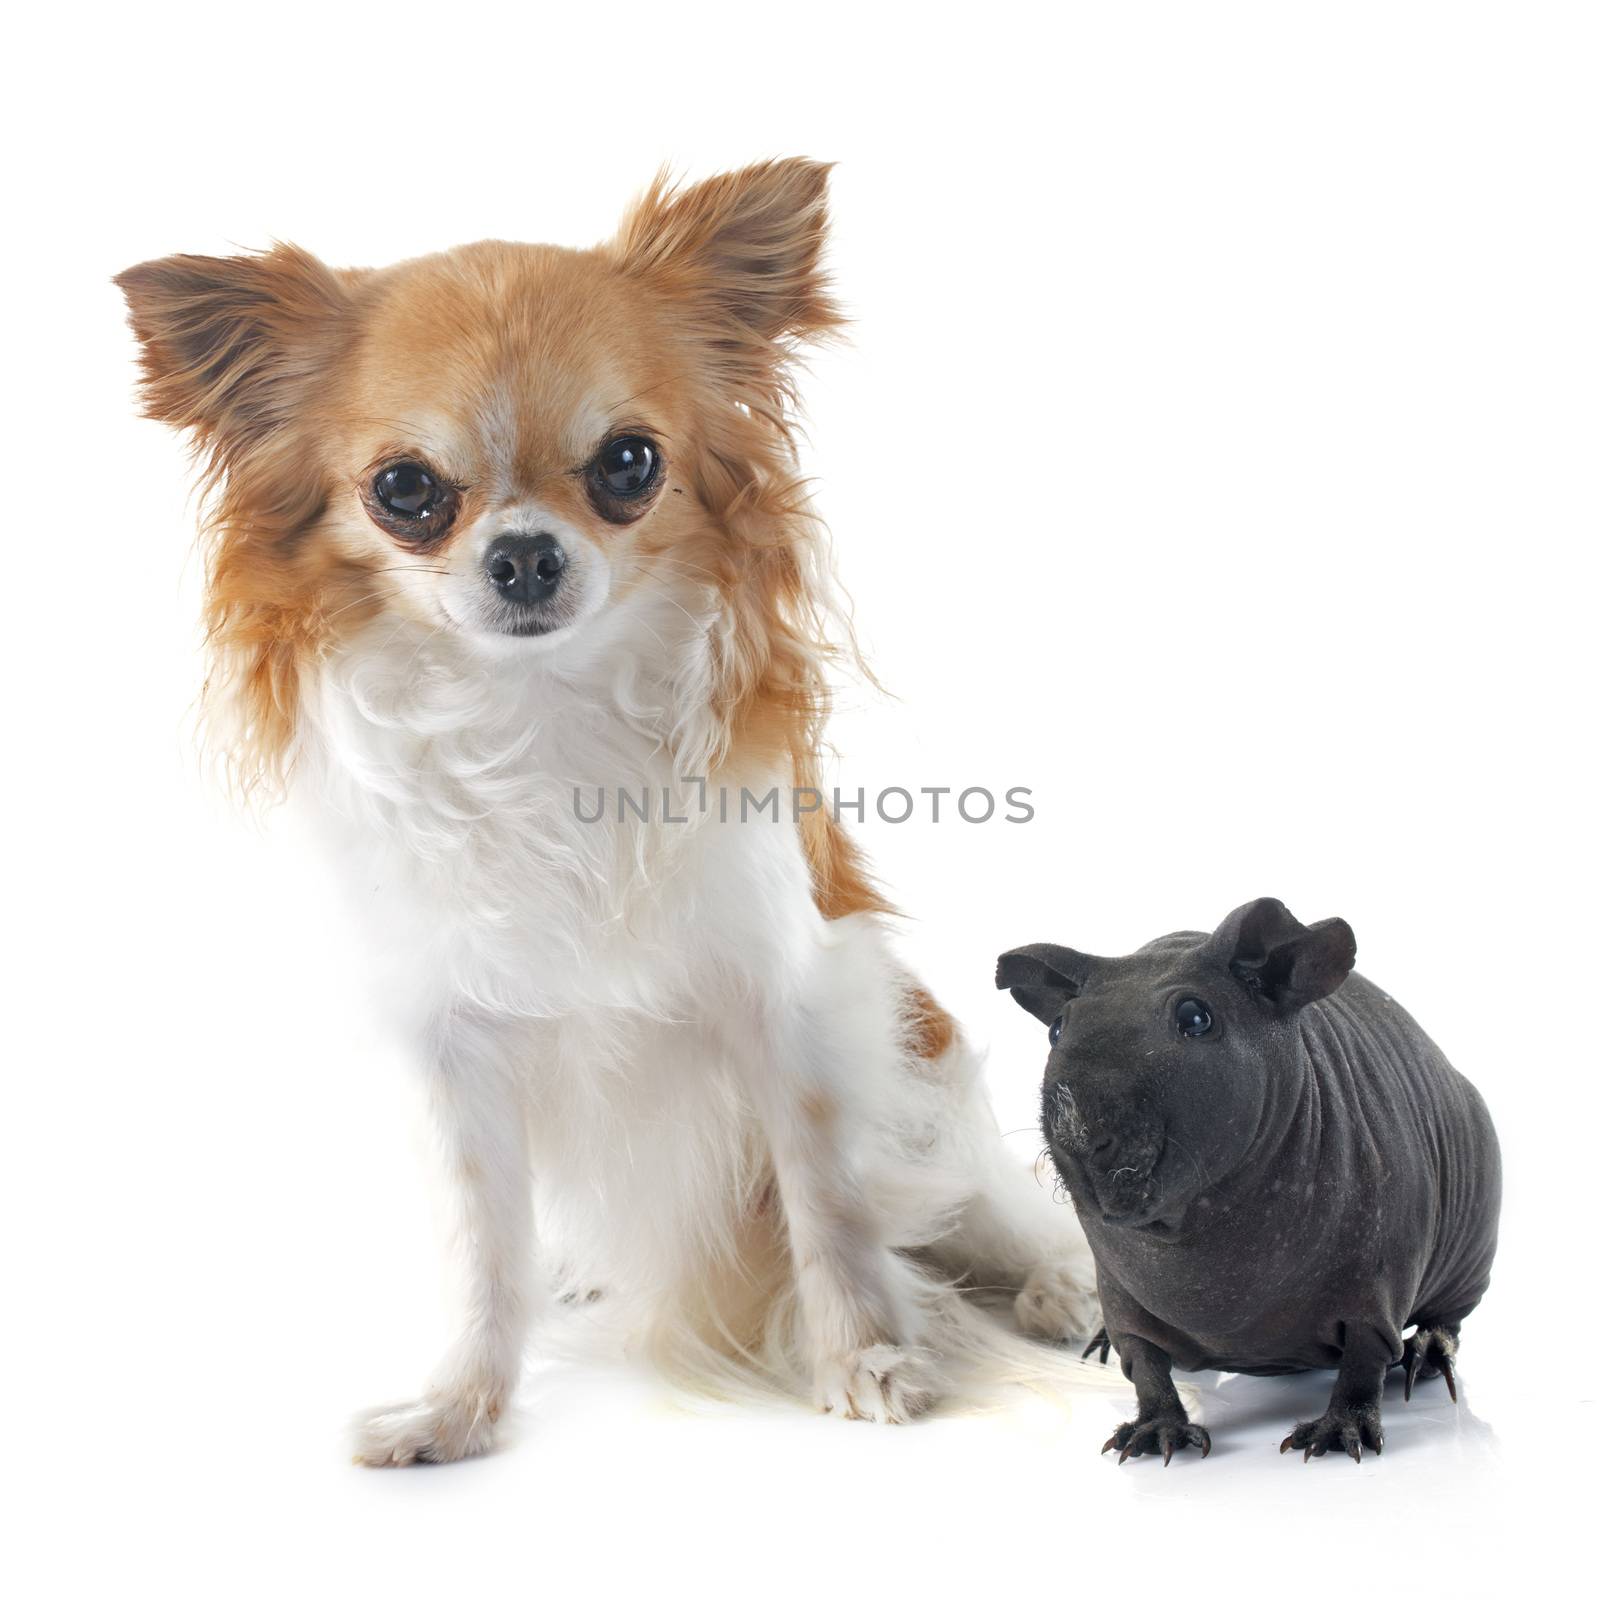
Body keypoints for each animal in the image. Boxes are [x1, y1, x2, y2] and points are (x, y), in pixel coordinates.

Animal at [118, 162, 1100, 1465]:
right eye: (404, 491)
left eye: (628, 464)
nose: (526, 554)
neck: (541, 711)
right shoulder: (456, 1049)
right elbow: (481, 1250)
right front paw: (460, 1408)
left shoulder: (789, 1000)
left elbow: (829, 1203)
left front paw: (864, 1358)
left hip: (920, 1069)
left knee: (985, 1203)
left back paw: (1061, 1284)